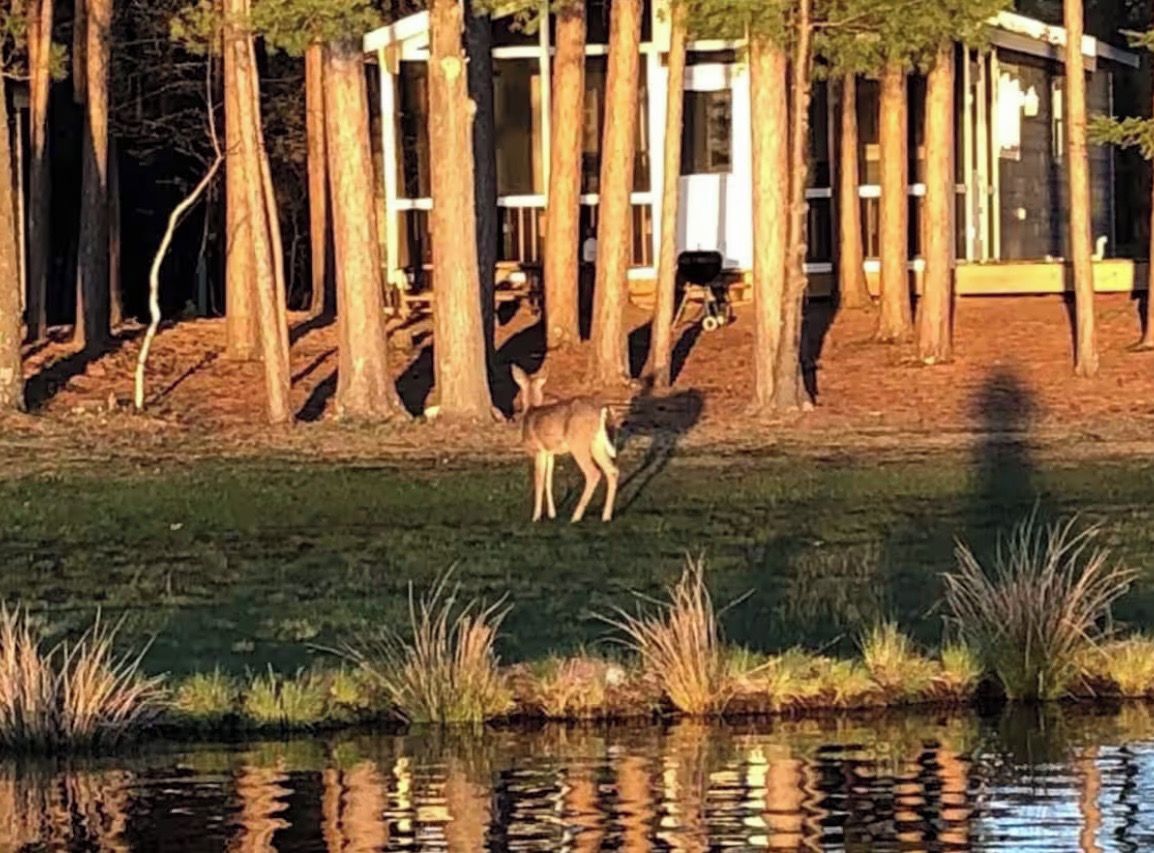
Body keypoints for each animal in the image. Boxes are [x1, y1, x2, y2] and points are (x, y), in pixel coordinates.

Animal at [510, 364, 619, 523]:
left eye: (518, 389)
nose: (514, 404)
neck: (531, 410)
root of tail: (602, 410)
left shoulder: (539, 450)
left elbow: (539, 481)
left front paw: (535, 517)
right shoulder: (550, 453)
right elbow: (548, 481)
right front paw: (552, 514)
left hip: (578, 443)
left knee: (593, 473)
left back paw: (576, 517)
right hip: (597, 443)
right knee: (612, 471)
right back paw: (606, 516)